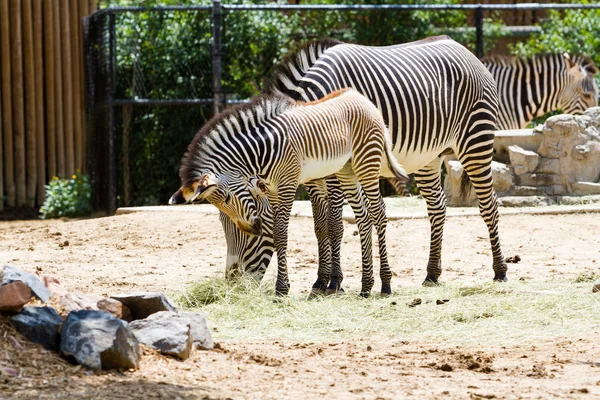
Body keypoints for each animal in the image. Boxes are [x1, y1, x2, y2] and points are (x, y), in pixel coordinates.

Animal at [169, 89, 408, 296]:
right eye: (220, 216)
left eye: (227, 198)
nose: (253, 229)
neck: (263, 151)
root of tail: (360, 97)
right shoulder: (273, 190)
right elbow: (280, 233)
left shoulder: (287, 185)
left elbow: (281, 234)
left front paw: (282, 289)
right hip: (346, 170)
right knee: (363, 217)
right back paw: (366, 286)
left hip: (367, 163)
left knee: (378, 213)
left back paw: (385, 284)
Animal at [218, 36, 508, 292]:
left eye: (250, 225)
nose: (232, 281)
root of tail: (466, 51)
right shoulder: (310, 176)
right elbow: (319, 226)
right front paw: (321, 279)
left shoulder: (334, 170)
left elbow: (334, 224)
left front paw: (335, 281)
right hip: (429, 156)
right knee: (437, 208)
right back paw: (432, 274)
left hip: (475, 139)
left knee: (489, 204)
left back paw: (500, 270)